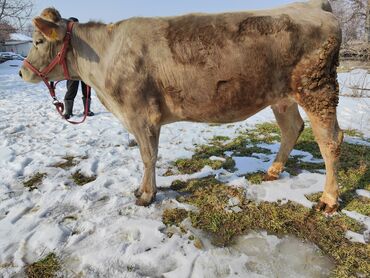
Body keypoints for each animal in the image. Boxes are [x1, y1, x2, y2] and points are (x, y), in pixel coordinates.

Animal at [18, 0, 342, 213]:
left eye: (37, 41)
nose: (21, 73)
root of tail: (311, 6)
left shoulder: (141, 114)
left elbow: (148, 156)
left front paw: (146, 195)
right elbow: (148, 155)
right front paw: (144, 190)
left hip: (317, 89)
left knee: (330, 141)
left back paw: (328, 199)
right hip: (282, 96)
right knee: (292, 129)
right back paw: (273, 171)